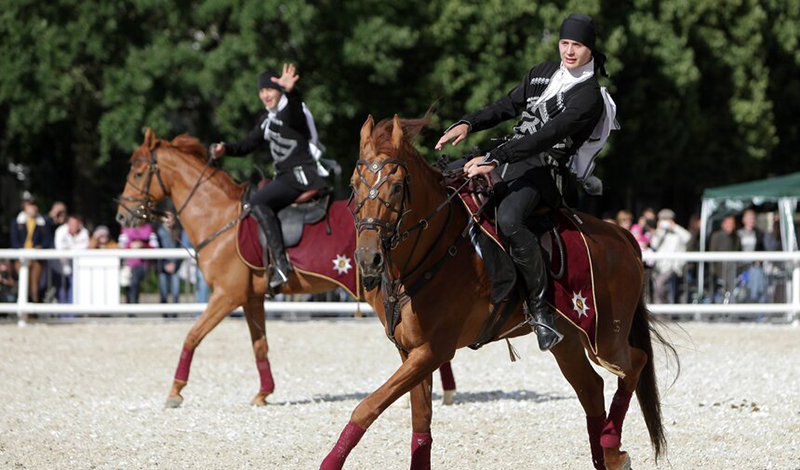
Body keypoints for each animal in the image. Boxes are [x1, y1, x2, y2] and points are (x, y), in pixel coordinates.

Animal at [115, 129, 460, 408]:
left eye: (139, 172)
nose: (122, 215)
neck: (220, 217)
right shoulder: (251, 298)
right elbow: (259, 345)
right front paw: (263, 393)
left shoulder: (226, 295)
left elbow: (191, 336)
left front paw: (175, 391)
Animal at [316, 114, 680, 470]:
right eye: (354, 185)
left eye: (395, 187)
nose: (368, 257)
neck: (433, 253)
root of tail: (621, 235)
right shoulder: (410, 352)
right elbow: (420, 424)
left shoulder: (433, 352)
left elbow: (367, 407)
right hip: (569, 340)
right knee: (591, 388)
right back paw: (605, 455)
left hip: (605, 336)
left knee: (634, 363)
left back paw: (611, 449)